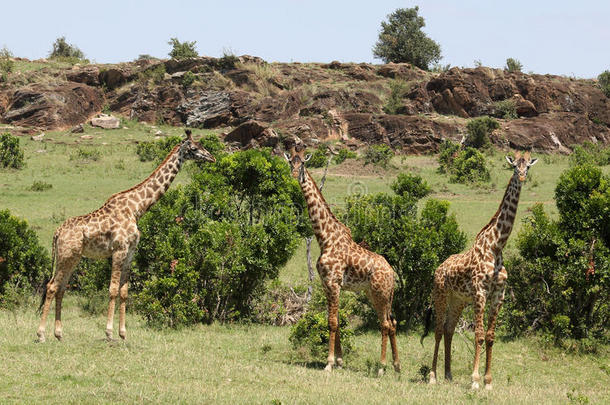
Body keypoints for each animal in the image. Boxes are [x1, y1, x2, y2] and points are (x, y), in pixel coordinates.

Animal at [36, 129, 215, 340]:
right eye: (194, 148)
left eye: (202, 146)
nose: (211, 157)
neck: (137, 208)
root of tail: (56, 233)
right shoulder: (119, 250)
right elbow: (113, 289)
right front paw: (109, 332)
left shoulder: (130, 253)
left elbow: (124, 292)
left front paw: (123, 333)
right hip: (66, 256)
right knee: (51, 287)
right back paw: (41, 335)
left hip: (73, 257)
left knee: (61, 288)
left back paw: (59, 334)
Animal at [284, 144, 400, 374]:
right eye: (290, 162)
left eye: (302, 164)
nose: (293, 177)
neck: (325, 238)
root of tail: (392, 273)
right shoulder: (326, 284)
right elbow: (335, 320)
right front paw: (339, 360)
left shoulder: (333, 282)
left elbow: (333, 322)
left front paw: (329, 363)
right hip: (376, 294)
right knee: (391, 322)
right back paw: (397, 365)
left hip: (380, 293)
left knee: (384, 324)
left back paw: (382, 367)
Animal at [422, 151, 536, 388]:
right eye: (514, 166)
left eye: (528, 166)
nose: (521, 177)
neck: (496, 246)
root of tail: (438, 268)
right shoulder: (480, 292)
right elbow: (480, 335)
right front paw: (475, 380)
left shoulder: (499, 294)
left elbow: (491, 337)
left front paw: (488, 381)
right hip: (440, 294)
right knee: (438, 330)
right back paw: (433, 376)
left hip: (458, 300)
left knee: (449, 329)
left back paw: (448, 374)